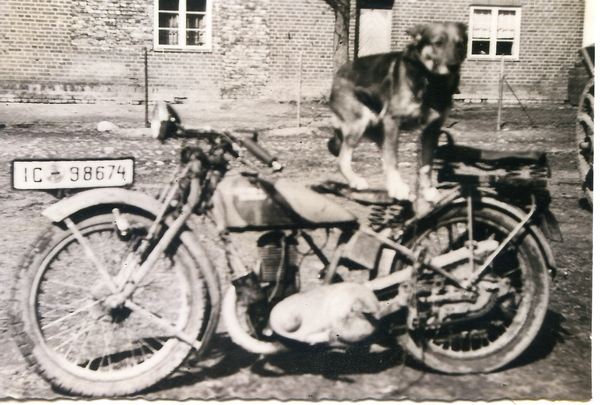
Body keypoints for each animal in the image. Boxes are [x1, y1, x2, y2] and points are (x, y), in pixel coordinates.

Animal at [330, 21, 466, 204]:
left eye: (460, 44)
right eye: (438, 43)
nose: (454, 66)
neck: (430, 81)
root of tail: (340, 72)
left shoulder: (432, 130)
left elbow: (426, 165)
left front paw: (427, 190)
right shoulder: (393, 121)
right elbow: (393, 160)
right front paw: (398, 188)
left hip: (378, 130)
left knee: (382, 159)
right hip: (360, 123)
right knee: (343, 159)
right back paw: (357, 181)